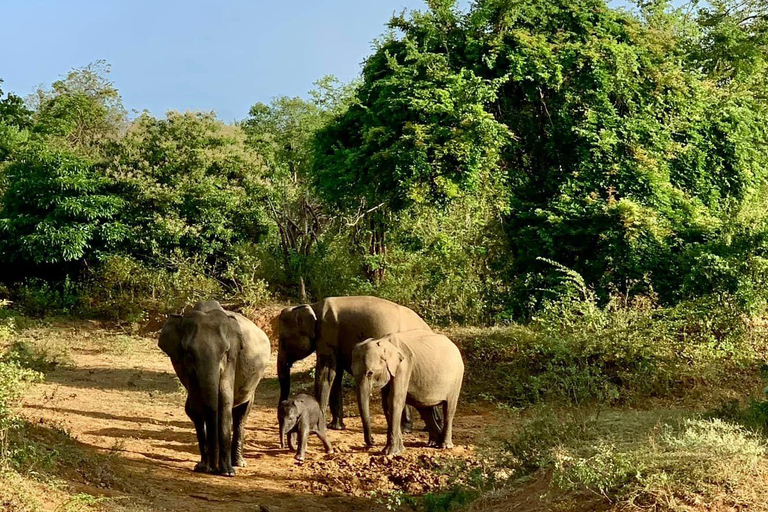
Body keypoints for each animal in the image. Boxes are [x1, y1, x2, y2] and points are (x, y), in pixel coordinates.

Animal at [158, 300, 272, 476]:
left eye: (225, 351)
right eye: (189, 352)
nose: (214, 467)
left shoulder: (233, 358)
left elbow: (225, 398)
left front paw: (227, 472)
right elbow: (197, 405)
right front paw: (203, 467)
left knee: (241, 414)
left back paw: (238, 463)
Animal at [276, 294, 432, 430]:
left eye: (283, 340)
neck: (313, 307)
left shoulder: (327, 335)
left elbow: (326, 373)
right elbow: (335, 375)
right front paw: (336, 426)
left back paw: (406, 428)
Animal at [352, 330, 464, 458]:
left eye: (370, 373)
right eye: (352, 372)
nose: (372, 440)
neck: (383, 341)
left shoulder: (403, 367)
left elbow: (395, 401)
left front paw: (389, 452)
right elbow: (387, 405)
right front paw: (399, 450)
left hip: (456, 379)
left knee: (448, 409)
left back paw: (445, 445)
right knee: (424, 409)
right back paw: (434, 442)